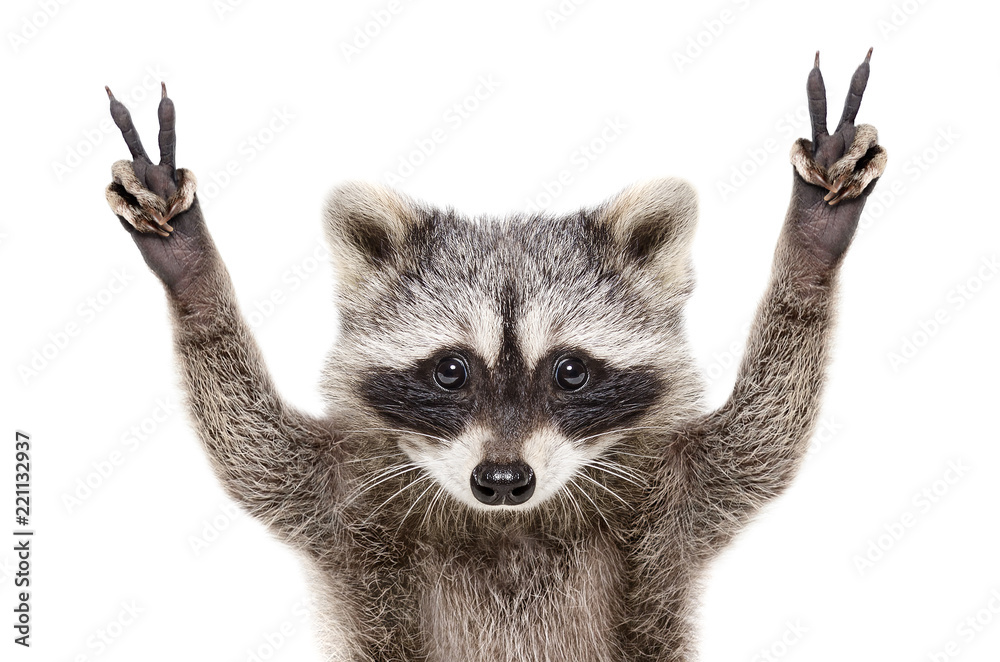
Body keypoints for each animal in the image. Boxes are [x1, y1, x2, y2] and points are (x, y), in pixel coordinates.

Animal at [104, 51, 885, 661]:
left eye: (571, 371)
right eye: (451, 371)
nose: (504, 481)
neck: (512, 527)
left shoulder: (677, 502)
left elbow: (762, 436)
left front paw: (810, 245)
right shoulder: (343, 505)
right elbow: (252, 448)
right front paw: (193, 273)